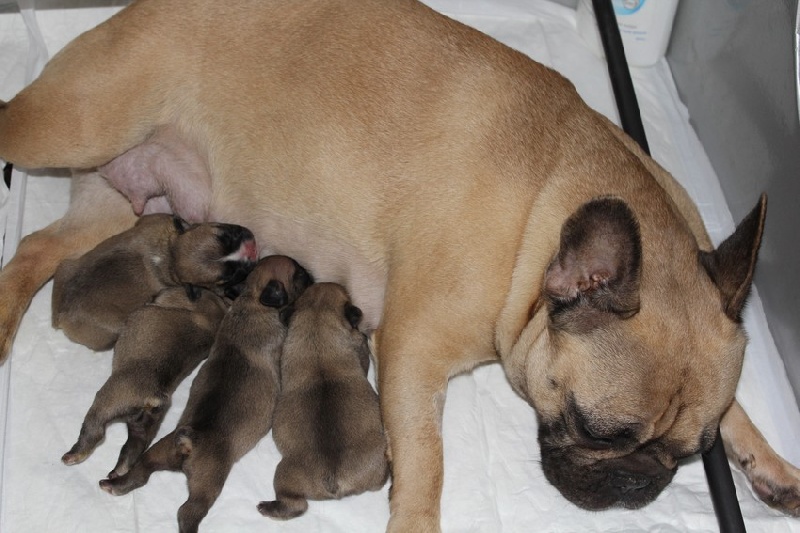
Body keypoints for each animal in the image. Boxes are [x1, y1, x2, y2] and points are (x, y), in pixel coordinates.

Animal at [51, 214, 256, 352]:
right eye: (227, 275)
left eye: (224, 235)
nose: (251, 249)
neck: (170, 253)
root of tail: (61, 316)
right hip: (110, 328)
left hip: (65, 267)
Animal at [60, 286, 225, 478]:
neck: (207, 312)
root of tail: (153, 397)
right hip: (142, 428)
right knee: (131, 451)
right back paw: (118, 471)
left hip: (104, 405)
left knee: (93, 433)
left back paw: (73, 455)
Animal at [98, 255, 314, 532]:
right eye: (299, 274)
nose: (311, 274)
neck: (253, 301)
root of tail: (188, 444)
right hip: (208, 483)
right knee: (188, 510)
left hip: (157, 453)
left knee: (139, 472)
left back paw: (113, 485)